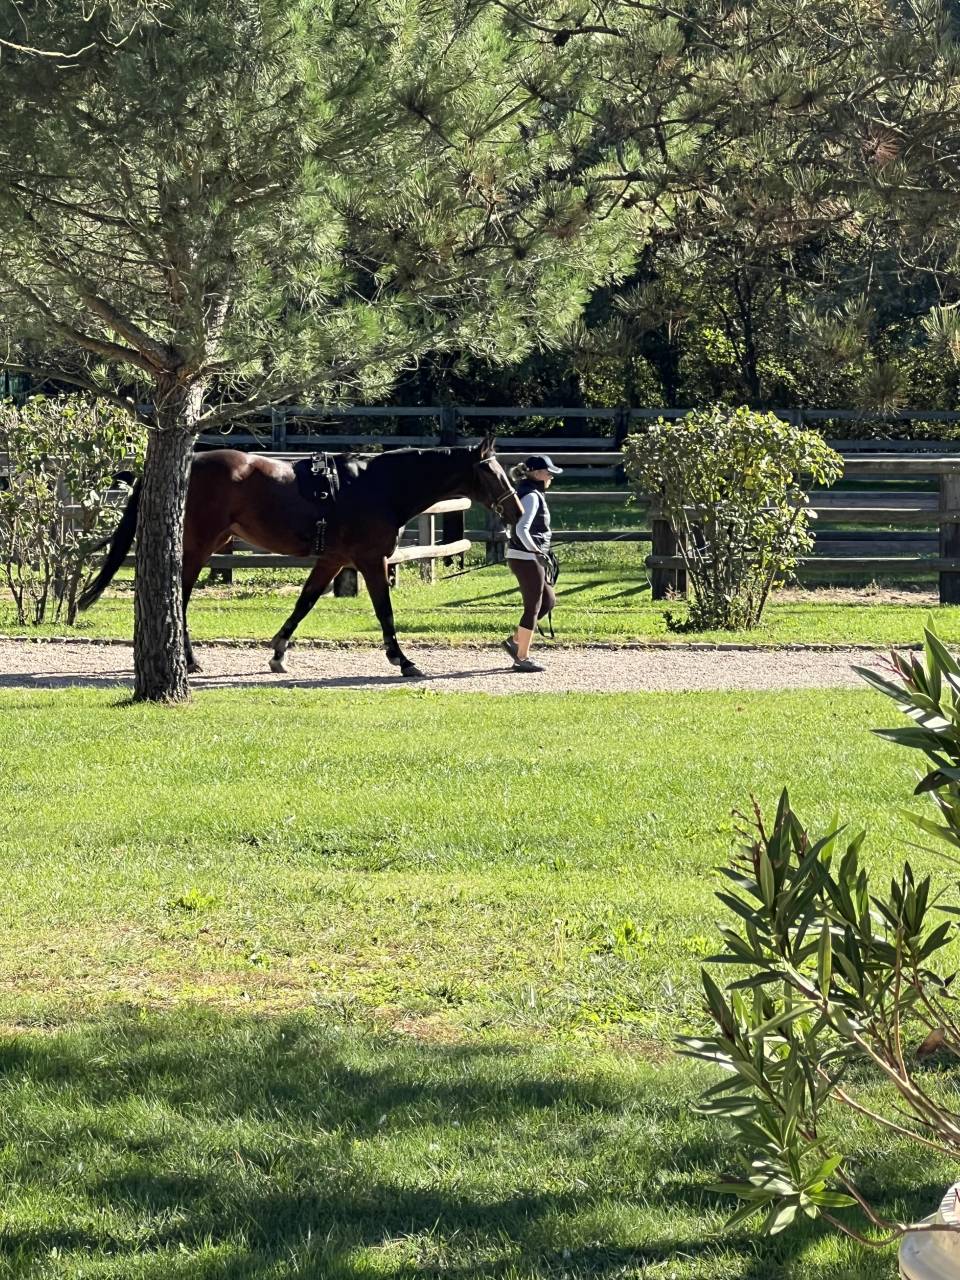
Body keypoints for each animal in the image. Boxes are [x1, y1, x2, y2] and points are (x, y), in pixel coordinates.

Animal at [78, 435, 522, 679]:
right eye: (492, 472)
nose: (517, 511)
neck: (377, 486)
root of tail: (185, 466)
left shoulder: (333, 560)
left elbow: (304, 603)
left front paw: (278, 651)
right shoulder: (370, 560)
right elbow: (385, 611)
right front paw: (403, 660)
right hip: (198, 546)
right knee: (179, 600)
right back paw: (190, 660)